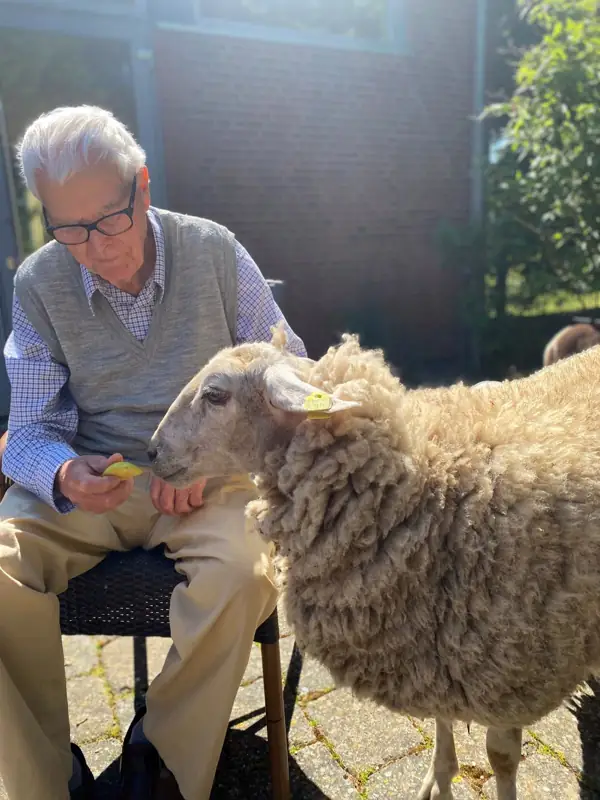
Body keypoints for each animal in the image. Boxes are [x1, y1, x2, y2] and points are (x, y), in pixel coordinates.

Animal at [150, 329, 600, 800]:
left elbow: (502, 758)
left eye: (215, 395)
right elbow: (443, 726)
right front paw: (438, 779)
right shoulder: (432, 651)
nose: (151, 451)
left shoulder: (510, 672)